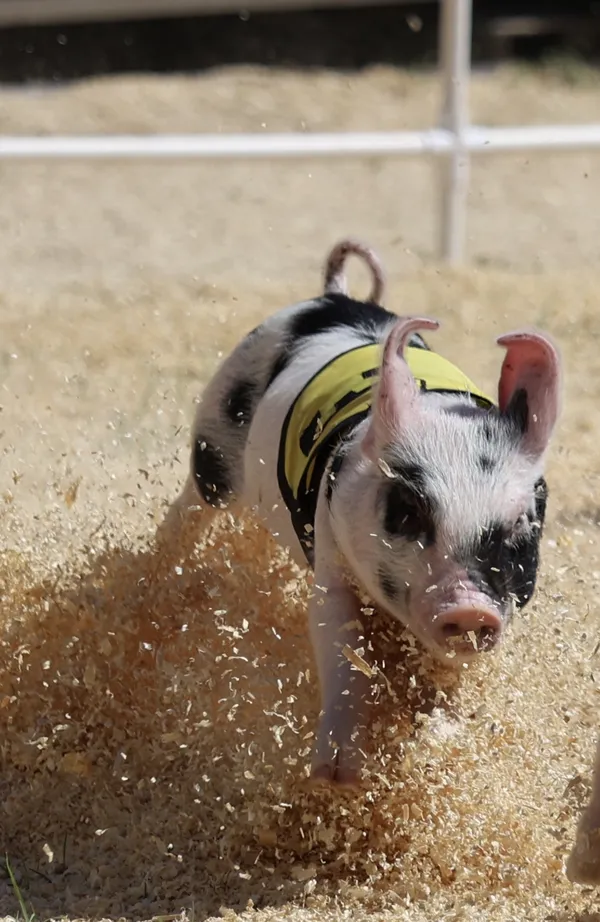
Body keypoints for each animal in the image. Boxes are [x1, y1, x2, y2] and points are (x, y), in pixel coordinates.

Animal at [159, 238, 562, 787]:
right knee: (192, 505)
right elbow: (341, 645)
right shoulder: (331, 554)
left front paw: (436, 745)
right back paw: (161, 570)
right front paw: (337, 776)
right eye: (408, 509)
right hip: (216, 435)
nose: (469, 607)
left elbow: (450, 683)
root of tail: (334, 296)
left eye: (521, 523)